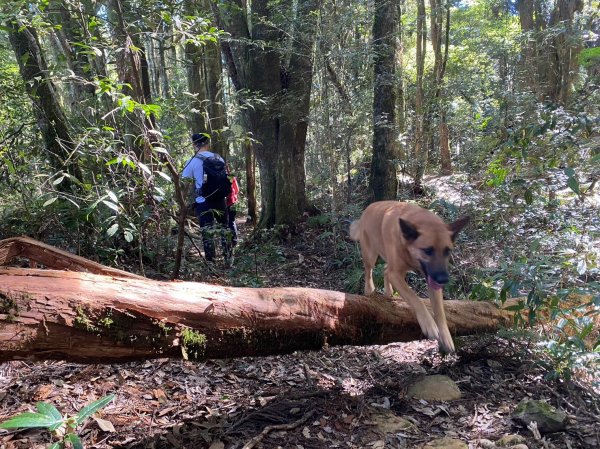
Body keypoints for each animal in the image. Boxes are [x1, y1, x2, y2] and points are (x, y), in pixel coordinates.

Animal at [350, 201, 472, 352]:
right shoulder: (396, 274)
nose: (443, 280)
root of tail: (369, 207)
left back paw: (388, 292)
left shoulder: (428, 279)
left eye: (447, 251)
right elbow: (416, 299)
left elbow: (440, 310)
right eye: (428, 250)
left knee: (385, 270)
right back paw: (369, 289)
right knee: (368, 271)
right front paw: (429, 324)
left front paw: (446, 336)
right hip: (371, 256)